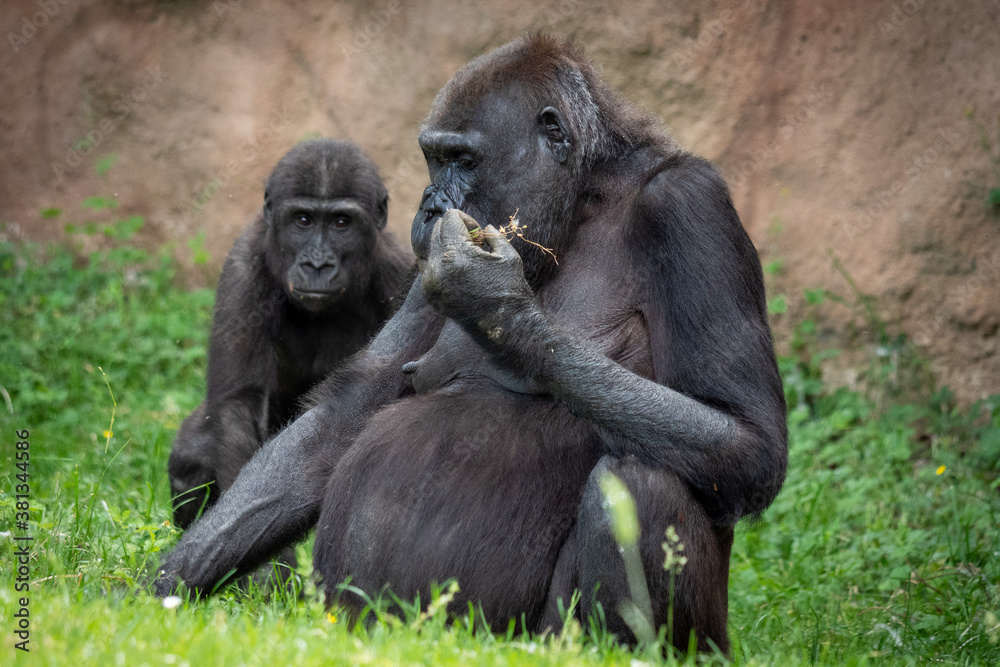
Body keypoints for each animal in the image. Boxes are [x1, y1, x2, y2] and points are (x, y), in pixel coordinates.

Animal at [168, 138, 410, 528]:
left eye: (342, 223)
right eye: (303, 220)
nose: (317, 264)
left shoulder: (400, 270)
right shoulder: (243, 265)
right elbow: (238, 405)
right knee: (194, 448)